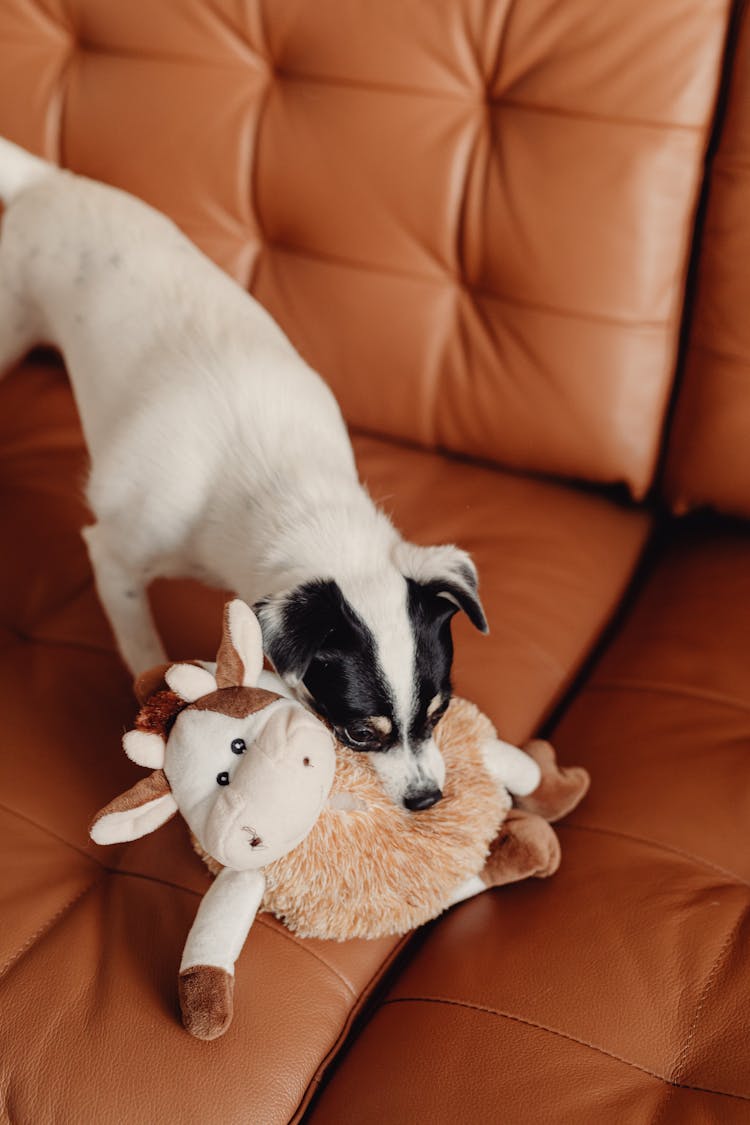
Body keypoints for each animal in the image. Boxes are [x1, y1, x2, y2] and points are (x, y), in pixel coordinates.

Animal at [0, 138, 494, 810]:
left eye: (439, 713)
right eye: (360, 732)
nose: (425, 799)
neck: (288, 491)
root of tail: (48, 182)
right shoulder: (115, 559)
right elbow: (142, 651)